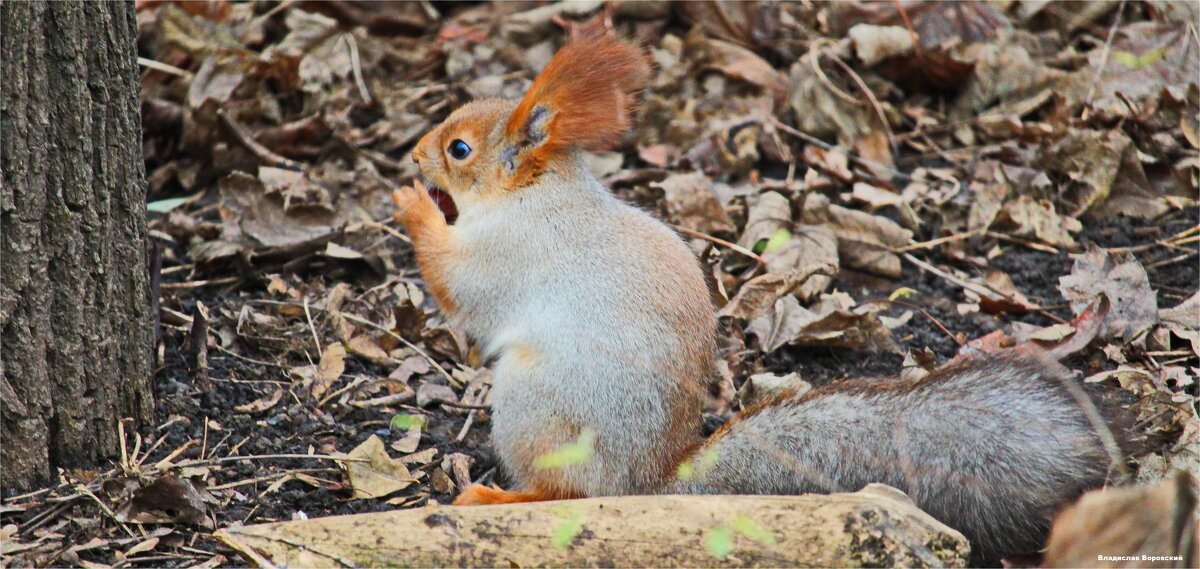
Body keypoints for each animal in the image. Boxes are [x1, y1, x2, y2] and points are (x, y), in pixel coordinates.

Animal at [391, 30, 1123, 564]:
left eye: (459, 149)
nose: (414, 155)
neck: (536, 192)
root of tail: (645, 482)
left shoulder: (510, 251)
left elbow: (459, 285)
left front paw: (413, 205)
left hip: (537, 405)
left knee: (562, 494)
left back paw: (496, 497)